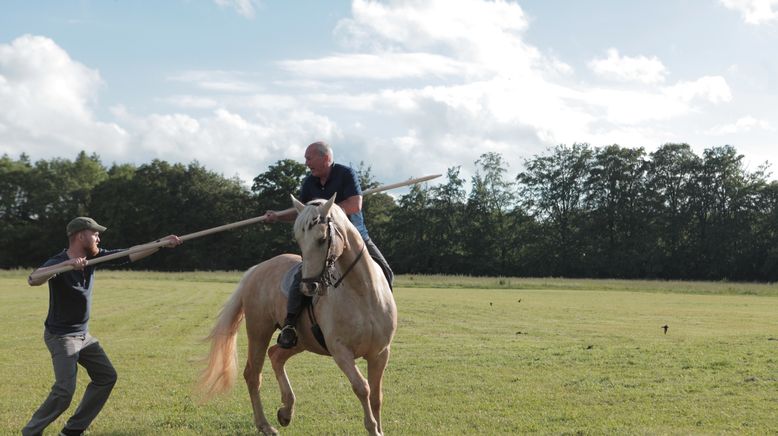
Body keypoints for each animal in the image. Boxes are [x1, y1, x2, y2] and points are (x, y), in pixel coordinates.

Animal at [197, 196, 398, 434]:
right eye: (300, 241)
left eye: (322, 239)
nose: (308, 286)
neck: (362, 291)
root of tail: (257, 269)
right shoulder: (341, 351)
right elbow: (362, 387)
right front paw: (372, 427)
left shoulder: (380, 353)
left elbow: (377, 395)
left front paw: (379, 429)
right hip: (259, 330)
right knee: (253, 374)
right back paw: (265, 425)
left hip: (300, 340)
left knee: (275, 355)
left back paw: (286, 411)